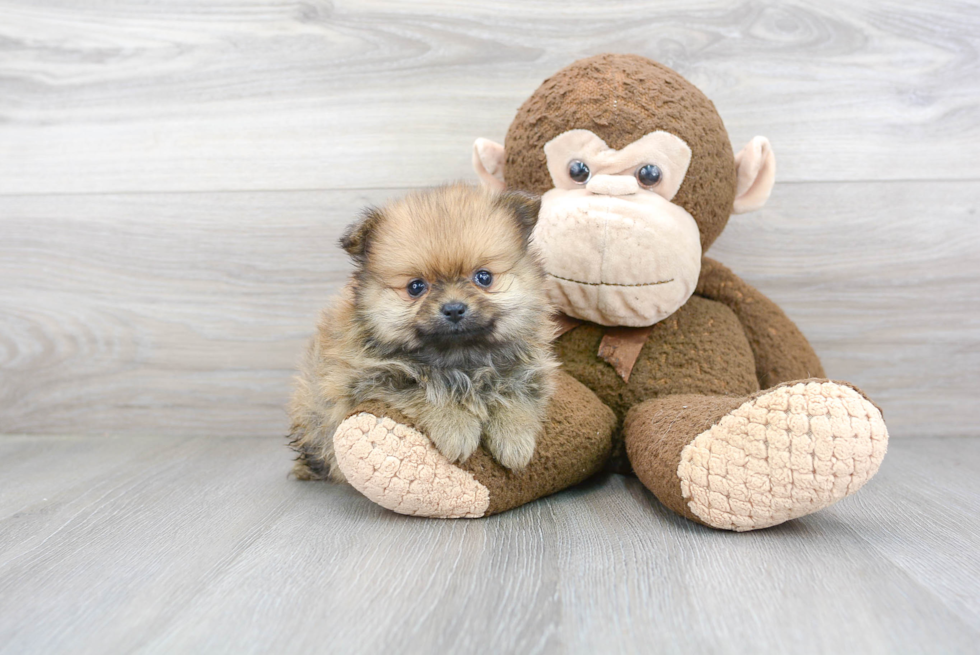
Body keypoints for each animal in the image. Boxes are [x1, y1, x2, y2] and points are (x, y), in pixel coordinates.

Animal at [288, 183, 556, 482]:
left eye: (484, 277)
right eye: (416, 287)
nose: (454, 308)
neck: (460, 356)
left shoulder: (525, 370)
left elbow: (514, 396)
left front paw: (514, 441)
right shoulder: (374, 377)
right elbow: (429, 391)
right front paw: (456, 429)